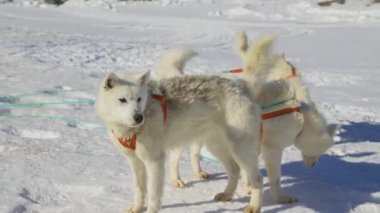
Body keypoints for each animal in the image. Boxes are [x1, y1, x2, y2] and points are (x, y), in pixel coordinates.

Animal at [95, 65, 264, 211]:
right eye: (122, 100)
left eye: (139, 99)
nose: (138, 117)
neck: (132, 130)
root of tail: (241, 86)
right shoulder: (135, 162)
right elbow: (139, 190)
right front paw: (136, 208)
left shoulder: (154, 161)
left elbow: (153, 195)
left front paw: (151, 210)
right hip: (217, 147)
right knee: (234, 170)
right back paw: (227, 195)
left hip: (240, 149)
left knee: (257, 179)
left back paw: (254, 207)